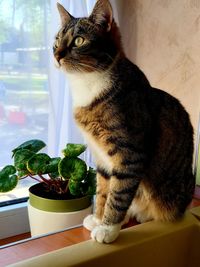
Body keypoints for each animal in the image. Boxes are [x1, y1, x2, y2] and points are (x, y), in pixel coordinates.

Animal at [54, 0, 195, 244]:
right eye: (57, 39)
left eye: (79, 41)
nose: (56, 55)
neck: (88, 85)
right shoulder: (101, 158)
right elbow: (103, 190)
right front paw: (99, 219)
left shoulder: (129, 155)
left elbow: (118, 194)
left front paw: (108, 228)